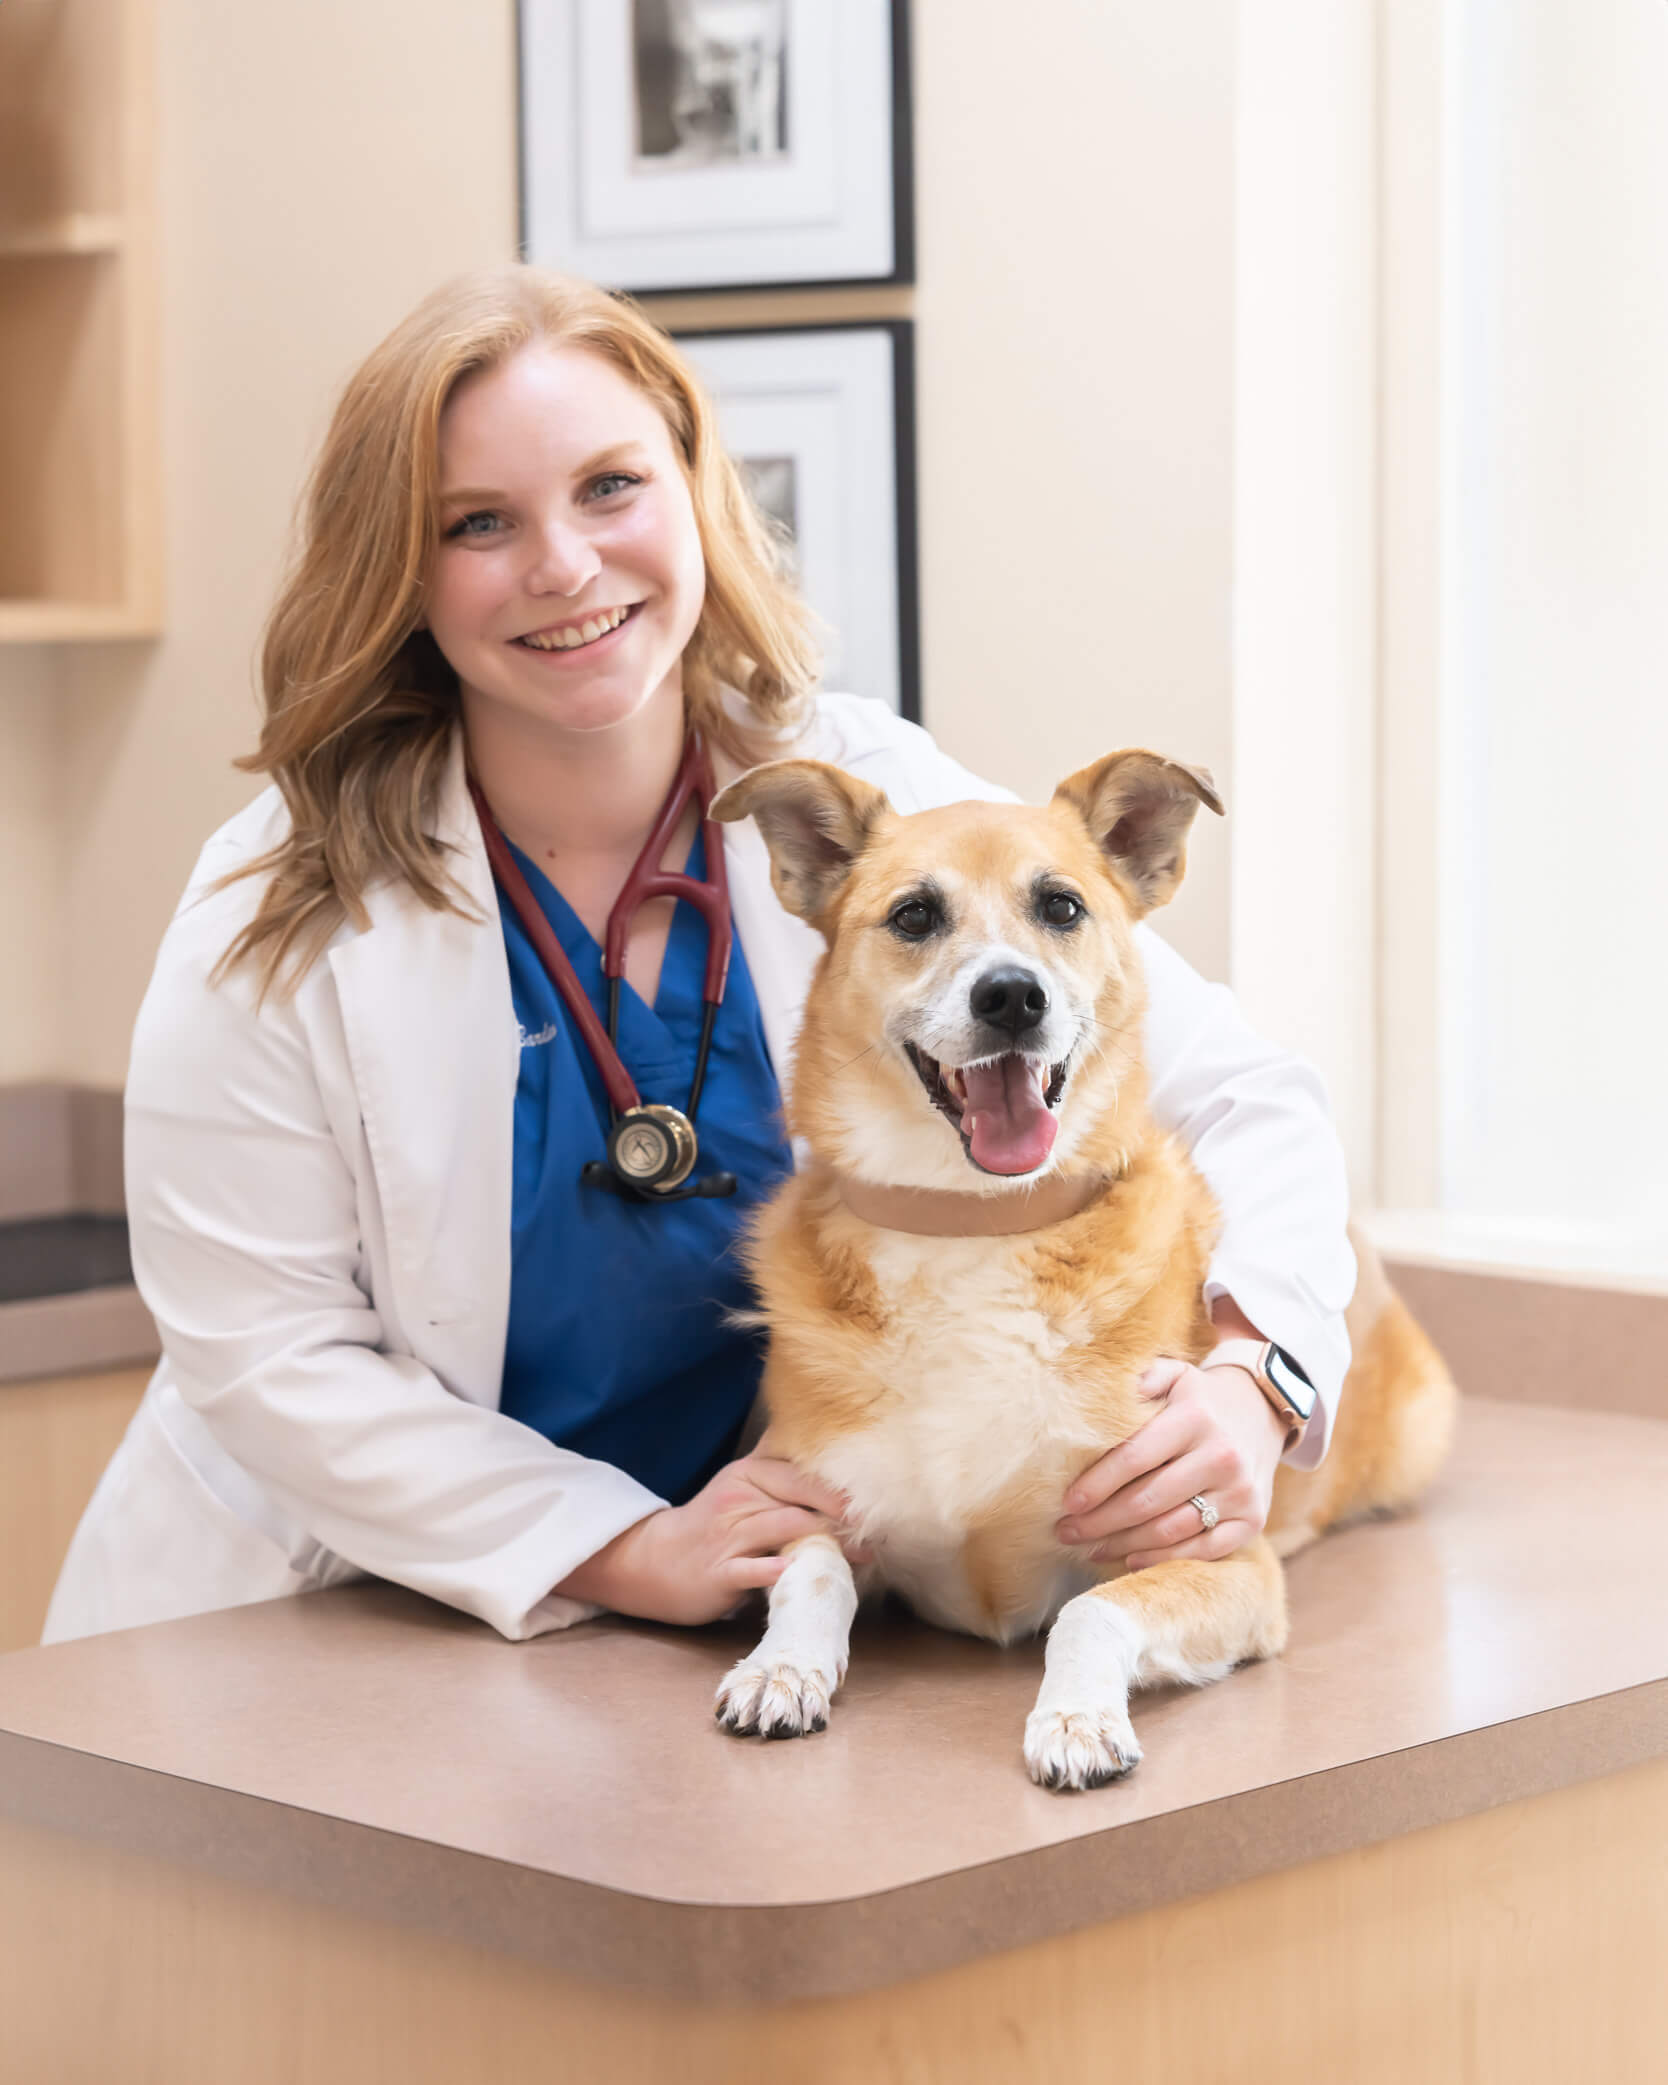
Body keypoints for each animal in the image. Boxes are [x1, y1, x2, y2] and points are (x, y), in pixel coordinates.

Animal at [704, 750, 1442, 1793]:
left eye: (1060, 907)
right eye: (914, 915)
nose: (1013, 995)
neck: (973, 1223)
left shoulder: (1227, 1561)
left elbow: (1095, 1609)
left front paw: (1076, 1720)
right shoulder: (805, 1497)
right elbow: (814, 1565)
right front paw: (781, 1667)